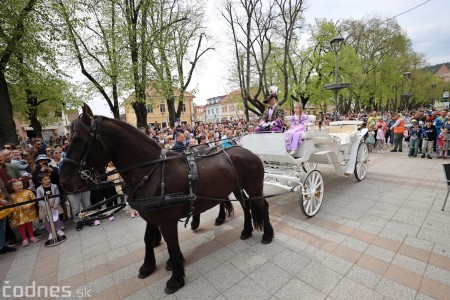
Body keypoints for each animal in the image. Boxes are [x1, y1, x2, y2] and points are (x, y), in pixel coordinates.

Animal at [59, 104, 274, 294]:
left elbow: (172, 245)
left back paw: (267, 234)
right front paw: (148, 266)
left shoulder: (166, 220)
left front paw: (176, 279)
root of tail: (247, 151)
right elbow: (148, 239)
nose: (63, 181)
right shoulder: (151, 215)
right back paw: (246, 230)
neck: (150, 170)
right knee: (246, 206)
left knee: (262, 205)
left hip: (253, 186)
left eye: (79, 139)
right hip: (235, 187)